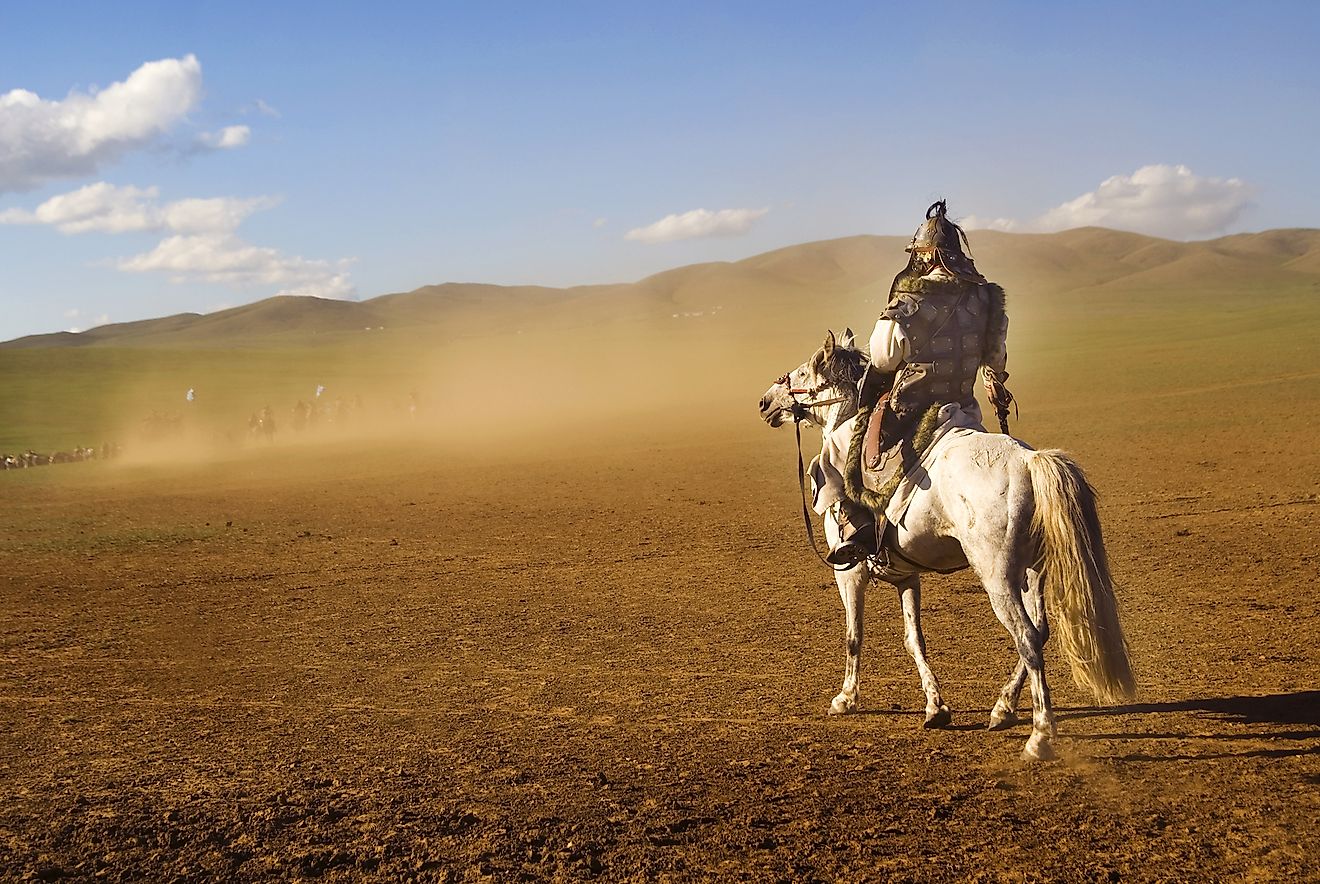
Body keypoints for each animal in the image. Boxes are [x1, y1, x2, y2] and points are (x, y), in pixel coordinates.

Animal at [760, 332, 1140, 759]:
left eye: (803, 373)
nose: (766, 402)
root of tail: (1029, 461)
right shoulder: (906, 575)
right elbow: (914, 641)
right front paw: (936, 707)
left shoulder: (850, 572)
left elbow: (853, 636)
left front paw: (845, 699)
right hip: (1031, 571)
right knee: (1040, 632)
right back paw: (1003, 709)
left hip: (998, 577)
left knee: (1027, 637)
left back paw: (1040, 735)